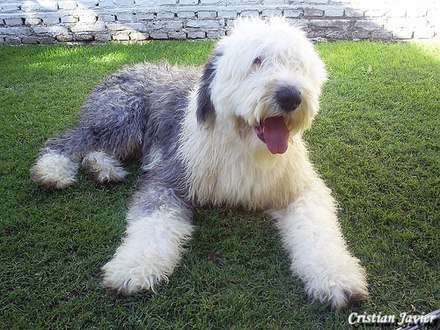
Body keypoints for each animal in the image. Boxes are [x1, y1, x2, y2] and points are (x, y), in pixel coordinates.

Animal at [30, 17, 368, 310]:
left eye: (297, 65)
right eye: (256, 61)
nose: (291, 96)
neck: (242, 144)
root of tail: (125, 67)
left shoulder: (299, 188)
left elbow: (318, 228)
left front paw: (337, 277)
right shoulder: (169, 178)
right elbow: (152, 224)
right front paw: (134, 267)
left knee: (94, 149)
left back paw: (105, 170)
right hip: (122, 116)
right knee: (72, 139)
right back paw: (53, 170)